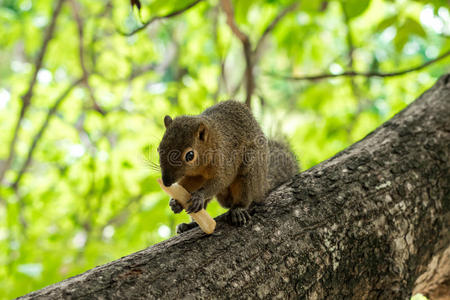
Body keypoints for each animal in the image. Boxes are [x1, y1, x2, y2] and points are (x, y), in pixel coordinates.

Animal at [158, 99, 298, 233]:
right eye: (159, 149)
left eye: (190, 155)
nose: (166, 182)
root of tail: (262, 185)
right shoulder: (195, 176)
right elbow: (186, 185)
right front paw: (175, 202)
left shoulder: (225, 160)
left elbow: (221, 181)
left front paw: (199, 196)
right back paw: (190, 225)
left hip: (250, 169)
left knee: (244, 196)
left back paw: (238, 210)